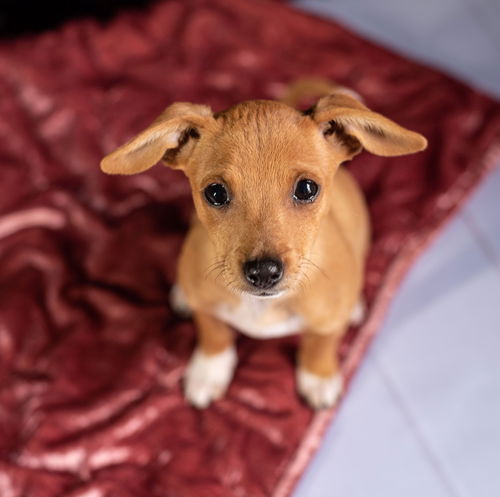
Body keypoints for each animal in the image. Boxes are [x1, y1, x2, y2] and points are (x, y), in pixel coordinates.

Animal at [100, 84, 426, 406]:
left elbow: (321, 344)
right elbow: (213, 333)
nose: (264, 272)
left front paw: (318, 377)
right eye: (215, 193)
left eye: (307, 188)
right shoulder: (206, 308)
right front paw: (209, 370)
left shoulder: (329, 322)